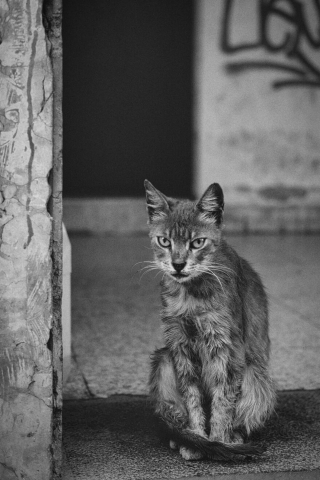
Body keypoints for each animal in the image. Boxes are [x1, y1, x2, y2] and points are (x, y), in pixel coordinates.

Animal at [144, 180, 276, 462]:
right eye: (164, 241)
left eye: (197, 243)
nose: (178, 264)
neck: (191, 294)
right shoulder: (179, 345)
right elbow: (192, 397)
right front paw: (199, 439)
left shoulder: (226, 348)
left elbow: (222, 401)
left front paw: (218, 442)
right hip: (162, 360)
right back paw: (182, 436)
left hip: (256, 375)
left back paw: (233, 438)